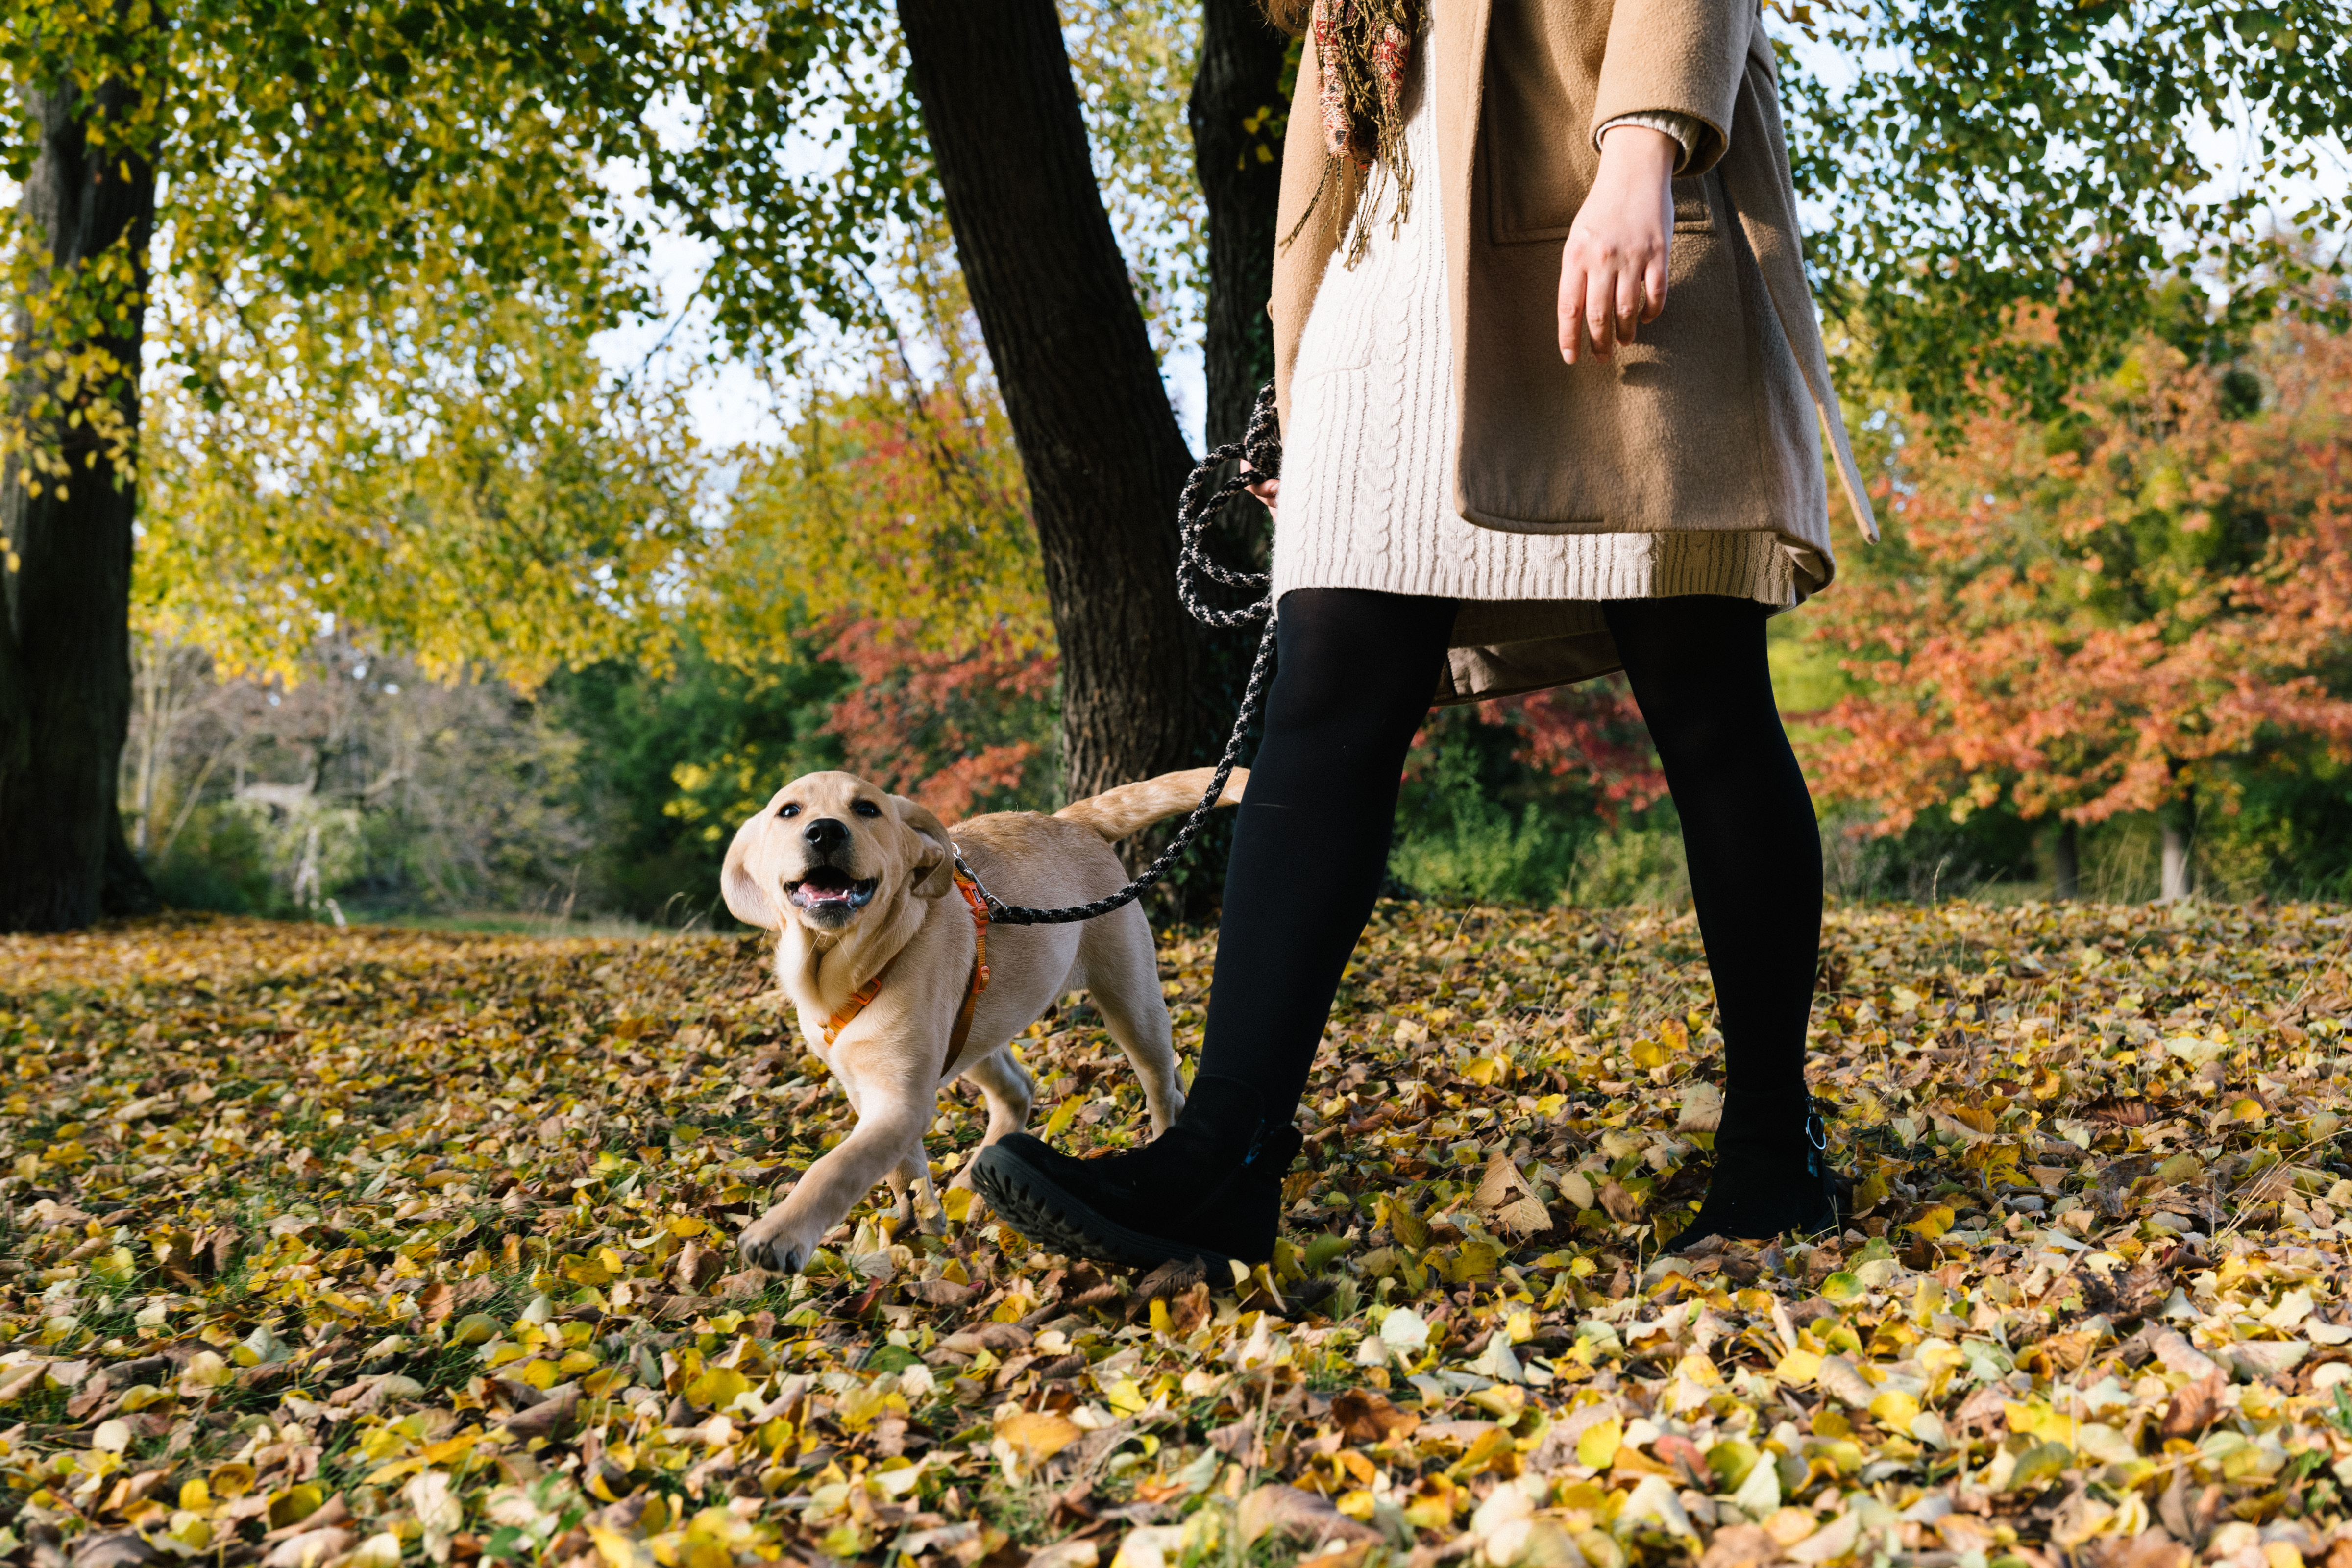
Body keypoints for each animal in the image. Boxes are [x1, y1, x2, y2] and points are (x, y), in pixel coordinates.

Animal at [724, 766, 1251, 1269]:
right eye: (789, 811)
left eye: (867, 809)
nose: (825, 832)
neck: (842, 972)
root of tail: (1070, 820)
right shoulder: (866, 1085)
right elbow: (901, 1168)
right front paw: (921, 1222)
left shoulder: (903, 1096)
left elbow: (839, 1166)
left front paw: (782, 1231)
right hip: (975, 1030)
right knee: (1019, 1090)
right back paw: (970, 1182)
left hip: (1130, 1002)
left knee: (1162, 1087)